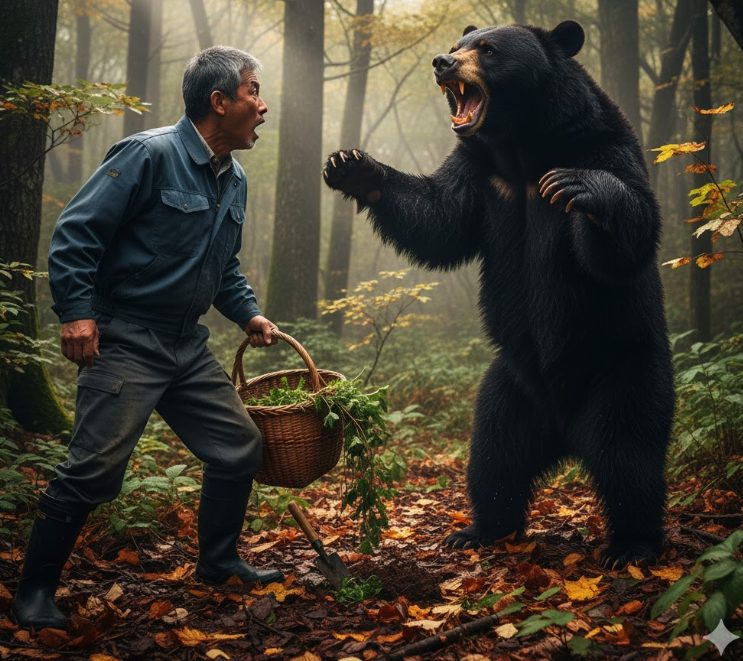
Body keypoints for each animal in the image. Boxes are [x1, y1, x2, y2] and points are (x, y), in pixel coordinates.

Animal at [322, 20, 675, 567]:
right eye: (459, 43)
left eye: (487, 50)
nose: (442, 62)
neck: (521, 147)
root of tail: (564, 429)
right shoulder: (481, 177)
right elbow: (438, 218)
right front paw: (352, 166)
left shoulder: (601, 145)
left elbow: (626, 233)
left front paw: (581, 189)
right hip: (509, 387)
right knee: (494, 457)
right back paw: (478, 529)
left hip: (624, 368)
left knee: (627, 455)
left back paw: (631, 544)